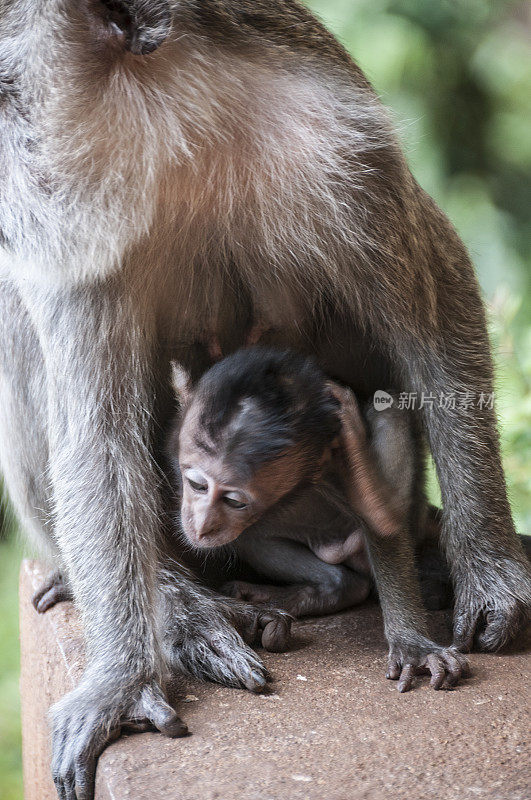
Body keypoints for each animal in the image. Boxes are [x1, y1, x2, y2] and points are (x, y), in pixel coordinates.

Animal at [0, 3, 528, 796]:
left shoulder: (343, 146)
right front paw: (123, 677)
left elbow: (433, 308)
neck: (175, 138)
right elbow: (94, 438)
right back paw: (184, 608)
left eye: (1, 94)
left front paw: (489, 571)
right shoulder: (75, 237)